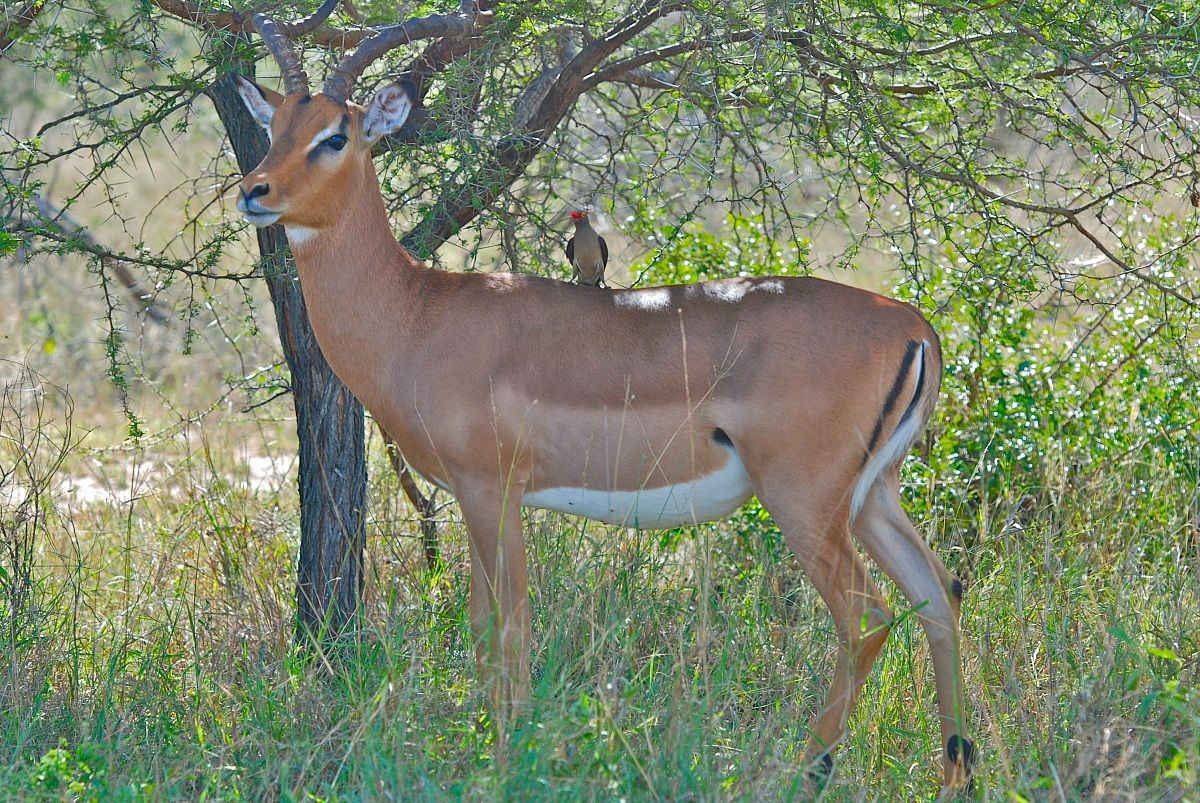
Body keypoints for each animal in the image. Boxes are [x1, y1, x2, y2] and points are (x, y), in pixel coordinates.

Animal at [230, 1, 975, 790]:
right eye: (274, 128)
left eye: (334, 136)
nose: (254, 192)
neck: (417, 313)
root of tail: (913, 324)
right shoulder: (476, 499)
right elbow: (481, 628)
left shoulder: (490, 491)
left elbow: (507, 629)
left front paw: (509, 761)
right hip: (871, 497)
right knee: (939, 593)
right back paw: (956, 769)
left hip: (804, 502)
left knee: (868, 617)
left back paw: (804, 770)